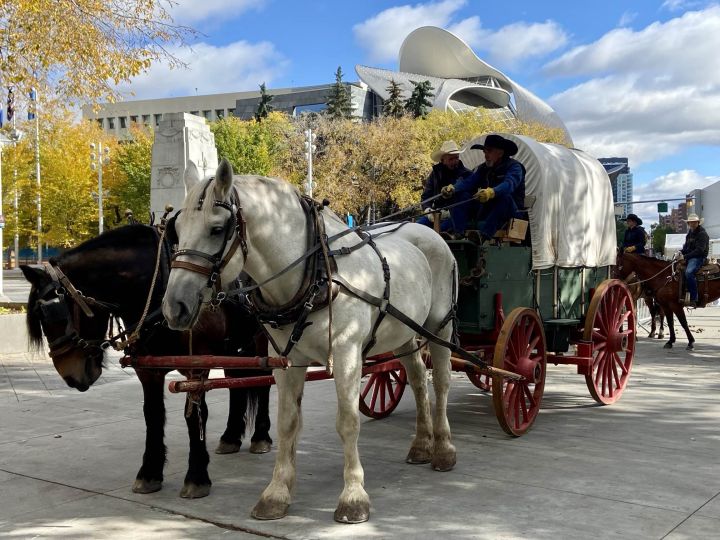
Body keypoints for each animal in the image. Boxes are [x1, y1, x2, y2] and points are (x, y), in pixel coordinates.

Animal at [21, 224, 272, 498]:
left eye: (53, 313)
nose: (69, 375)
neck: (159, 286)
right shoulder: (148, 369)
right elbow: (152, 414)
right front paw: (150, 472)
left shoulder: (196, 366)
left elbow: (196, 415)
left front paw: (196, 476)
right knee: (235, 383)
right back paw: (231, 436)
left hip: (262, 341)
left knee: (264, 384)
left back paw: (260, 436)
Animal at [162, 159, 456, 524]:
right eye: (176, 230)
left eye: (217, 229)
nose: (174, 307)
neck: (315, 274)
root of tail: (428, 231)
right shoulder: (287, 360)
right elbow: (288, 422)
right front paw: (276, 493)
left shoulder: (346, 354)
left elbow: (348, 422)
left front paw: (353, 496)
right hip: (402, 333)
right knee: (416, 379)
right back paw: (421, 444)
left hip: (439, 328)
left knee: (440, 383)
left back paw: (443, 448)